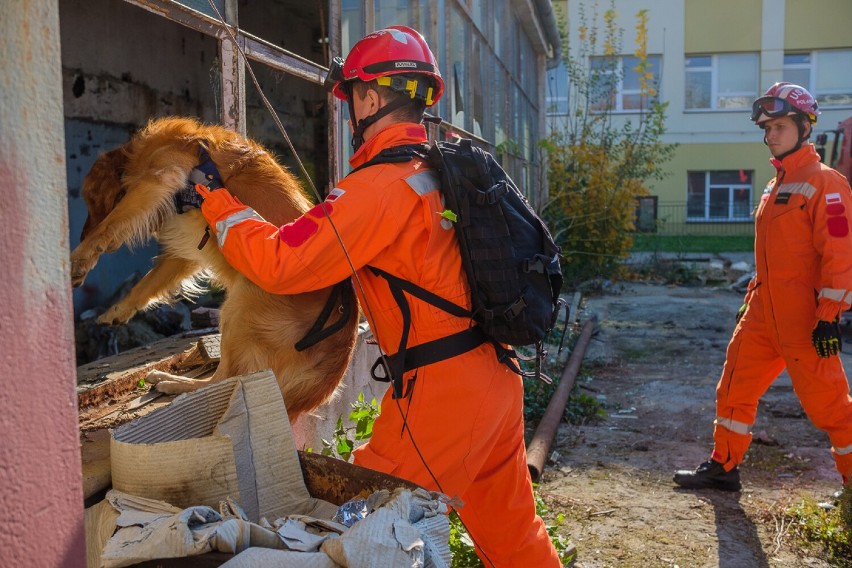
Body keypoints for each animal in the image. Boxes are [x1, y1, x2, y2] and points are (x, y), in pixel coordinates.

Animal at [69, 116, 356, 418]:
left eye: (89, 201)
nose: (79, 233)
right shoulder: (185, 249)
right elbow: (147, 283)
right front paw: (117, 311)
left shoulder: (160, 177)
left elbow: (109, 224)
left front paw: (80, 257)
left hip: (240, 307)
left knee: (223, 379)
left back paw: (173, 382)